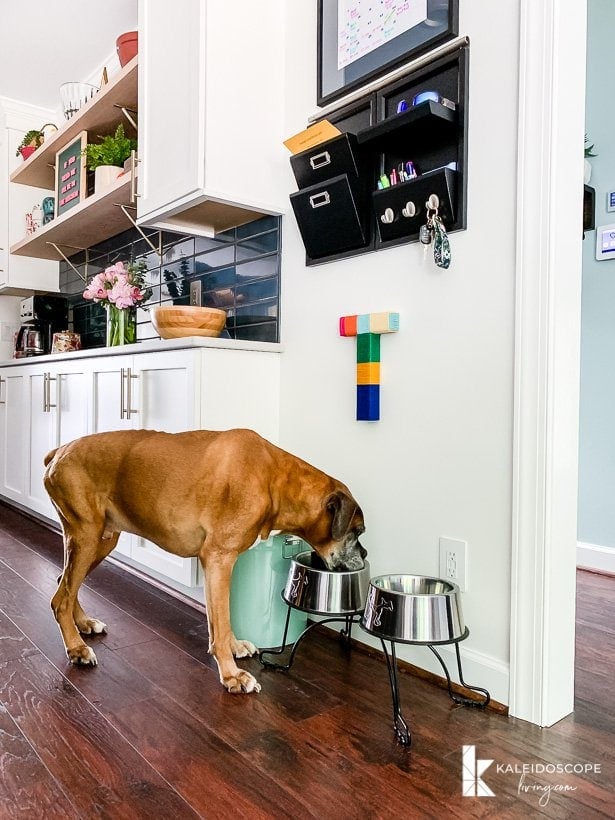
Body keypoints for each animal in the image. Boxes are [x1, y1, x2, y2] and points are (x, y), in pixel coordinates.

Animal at [47, 430, 370, 692]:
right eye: (357, 531)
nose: (365, 554)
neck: (274, 480)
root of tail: (59, 451)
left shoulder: (221, 565)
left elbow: (222, 619)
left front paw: (234, 648)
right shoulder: (219, 559)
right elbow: (222, 621)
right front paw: (232, 676)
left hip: (101, 540)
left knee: (66, 584)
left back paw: (83, 624)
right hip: (87, 537)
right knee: (60, 599)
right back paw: (76, 648)